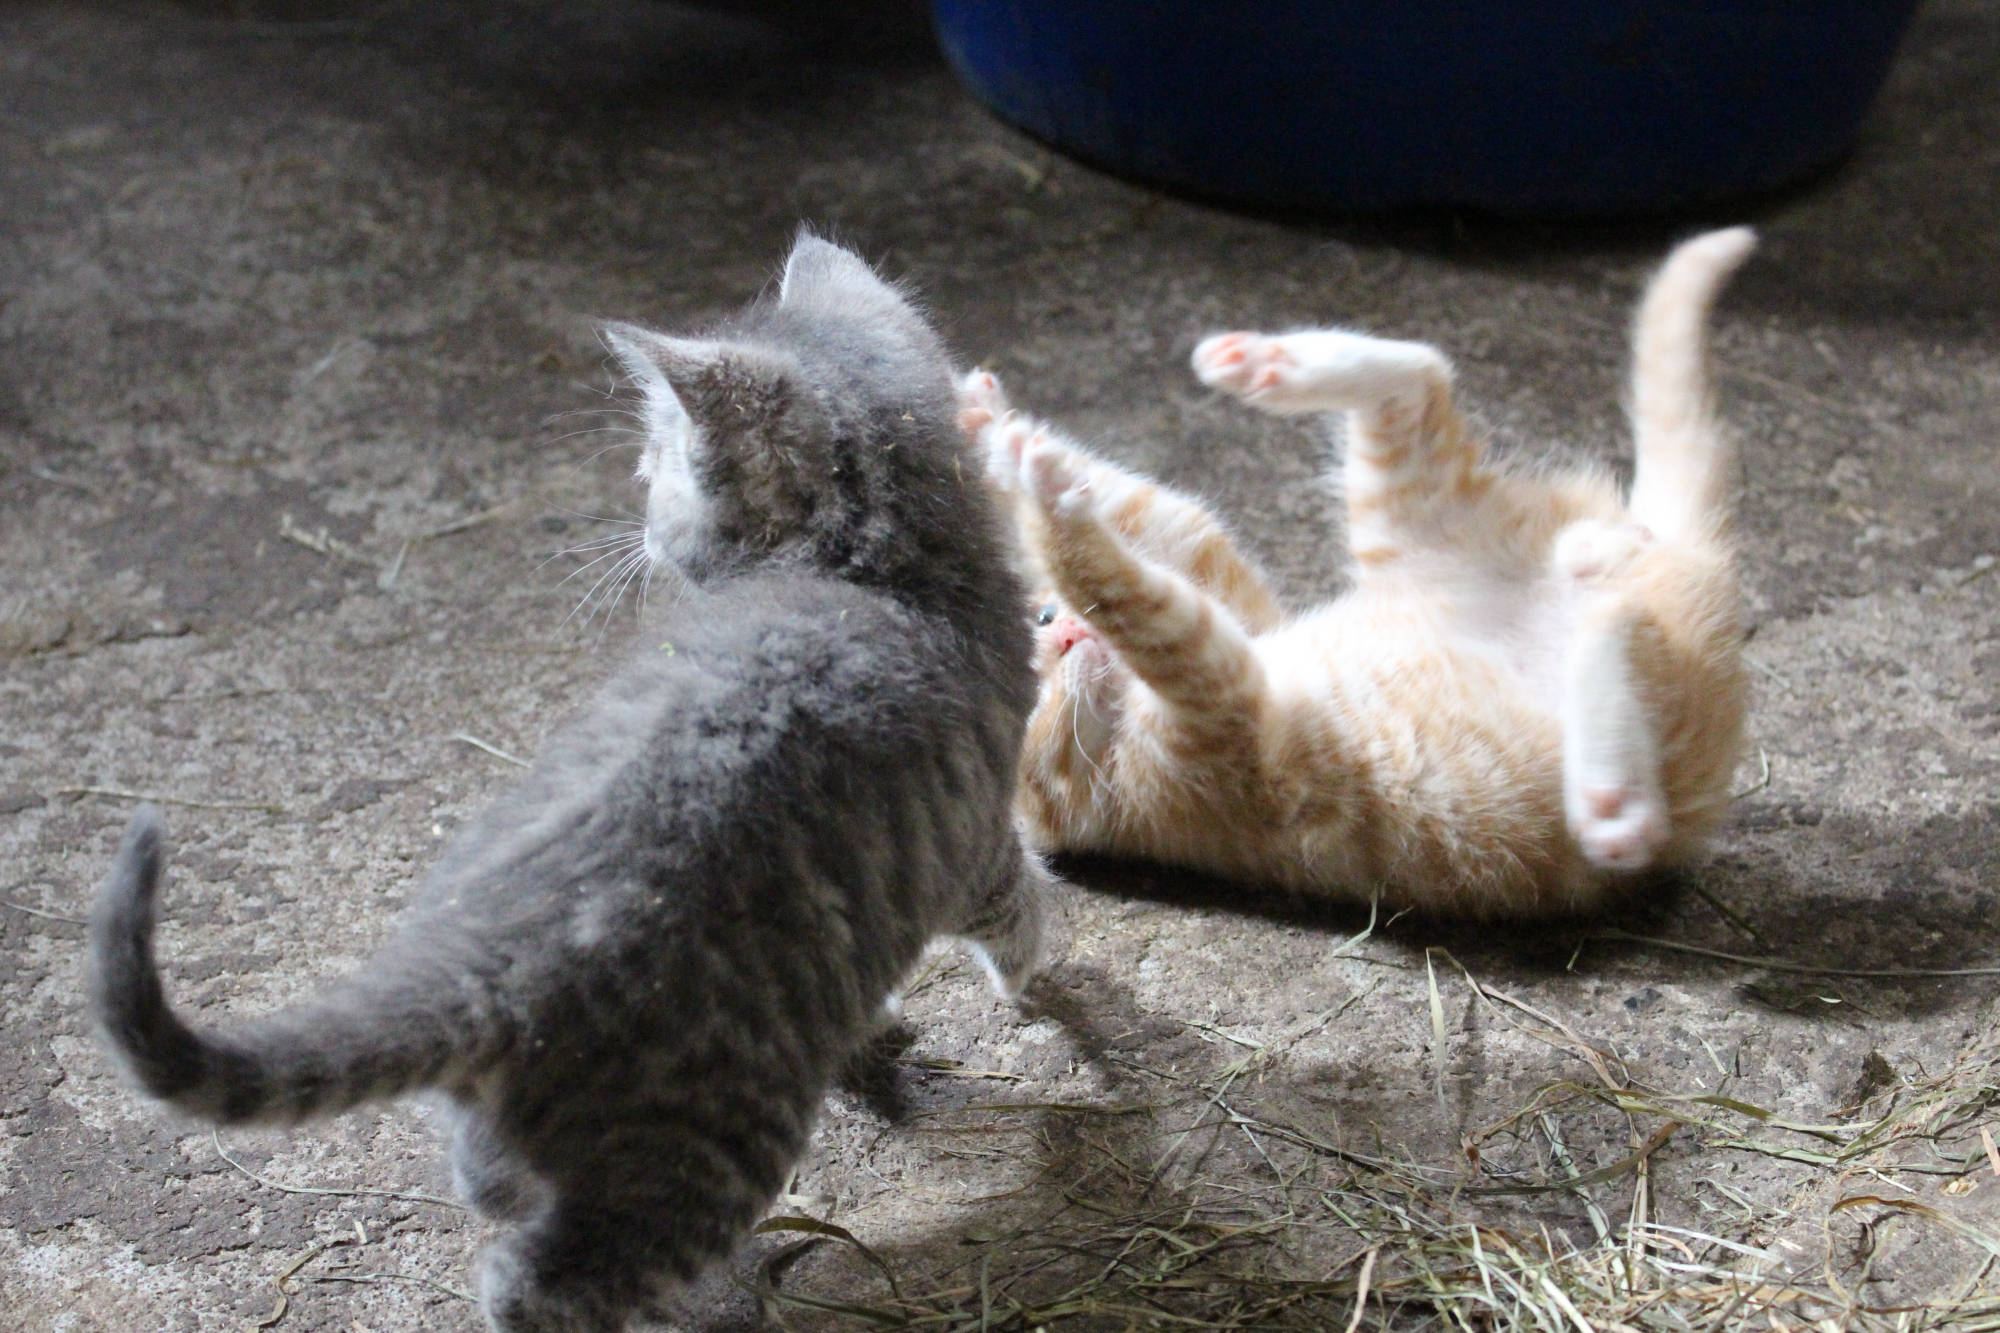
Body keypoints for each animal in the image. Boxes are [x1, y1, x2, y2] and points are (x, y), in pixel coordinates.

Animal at [88, 233, 1052, 1333]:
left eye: (661, 461)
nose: (637, 498)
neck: (892, 575)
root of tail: (481, 958)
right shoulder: (972, 827)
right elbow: (1016, 908)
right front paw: (1034, 987)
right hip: (707, 1141)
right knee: (534, 1279)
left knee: (497, 1193)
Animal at [958, 228, 1756, 918]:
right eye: (1030, 695)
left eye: (1039, 618)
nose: (1066, 633)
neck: (1120, 724)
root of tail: (1682, 560)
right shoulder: (1217, 707)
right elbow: (1118, 586)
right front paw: (1043, 496)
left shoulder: (1229, 596)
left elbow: (1151, 518)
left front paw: (999, 440)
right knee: (1622, 629)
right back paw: (1615, 796)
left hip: (1410, 510)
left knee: (1423, 375)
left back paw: (1275, 368)